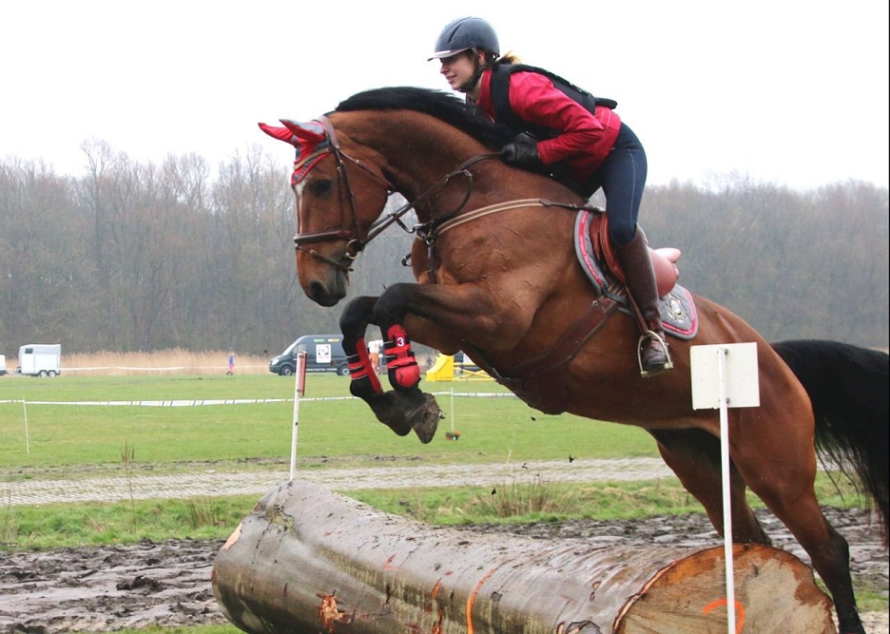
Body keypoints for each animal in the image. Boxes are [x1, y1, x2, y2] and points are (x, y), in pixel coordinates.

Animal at [260, 86, 884, 628]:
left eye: (320, 184)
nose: (315, 283)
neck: (478, 199)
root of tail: (774, 360)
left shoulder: (497, 315)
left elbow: (387, 299)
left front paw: (411, 398)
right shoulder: (454, 327)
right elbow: (363, 312)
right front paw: (392, 399)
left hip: (777, 465)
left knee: (829, 548)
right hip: (698, 458)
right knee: (751, 537)